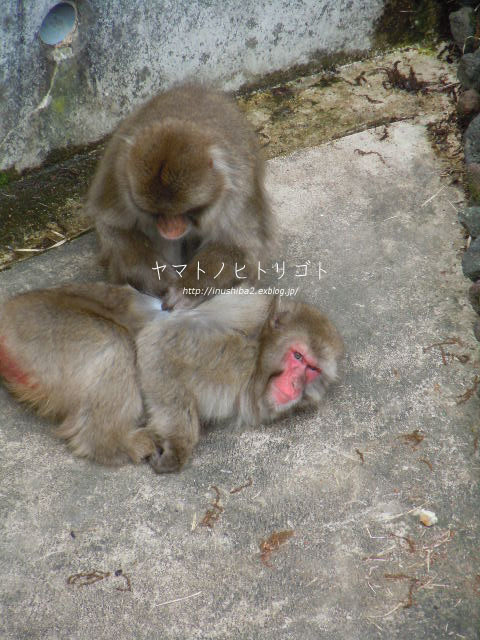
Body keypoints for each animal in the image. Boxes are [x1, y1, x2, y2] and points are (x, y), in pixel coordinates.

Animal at [0, 284, 344, 470]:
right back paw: (111, 443)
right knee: (115, 344)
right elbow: (159, 343)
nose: (295, 384)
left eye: (313, 369)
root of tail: (10, 309)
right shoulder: (230, 350)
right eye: (297, 357)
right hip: (40, 328)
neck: (260, 352)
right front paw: (179, 447)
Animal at [86, 84, 272, 308]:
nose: (169, 228)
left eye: (185, 211)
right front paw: (161, 281)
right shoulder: (118, 176)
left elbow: (239, 247)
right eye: (155, 212)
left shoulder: (239, 191)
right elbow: (114, 228)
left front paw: (185, 290)